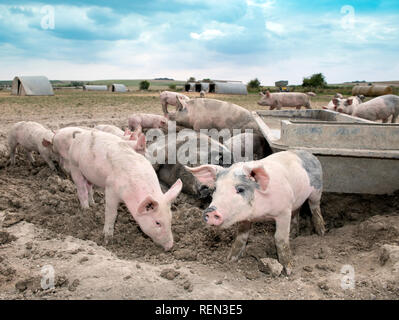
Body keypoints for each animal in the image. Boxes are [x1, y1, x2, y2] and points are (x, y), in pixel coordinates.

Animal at [186, 150, 326, 272]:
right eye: (215, 188)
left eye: (240, 189)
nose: (210, 210)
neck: (260, 214)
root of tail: (309, 154)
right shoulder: (245, 218)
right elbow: (241, 237)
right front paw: (230, 259)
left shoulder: (284, 211)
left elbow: (280, 238)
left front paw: (288, 270)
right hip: (297, 200)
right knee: (297, 212)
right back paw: (293, 235)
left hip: (317, 190)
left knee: (315, 209)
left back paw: (321, 233)